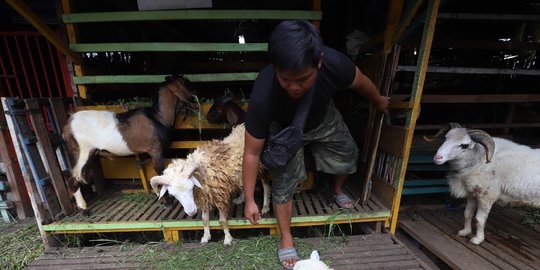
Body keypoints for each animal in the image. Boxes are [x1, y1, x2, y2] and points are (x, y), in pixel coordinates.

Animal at [63, 75, 195, 214]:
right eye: (183, 82)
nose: (196, 92)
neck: (158, 117)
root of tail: (67, 127)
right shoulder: (155, 150)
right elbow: (160, 172)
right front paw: (168, 201)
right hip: (82, 152)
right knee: (73, 179)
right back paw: (84, 209)